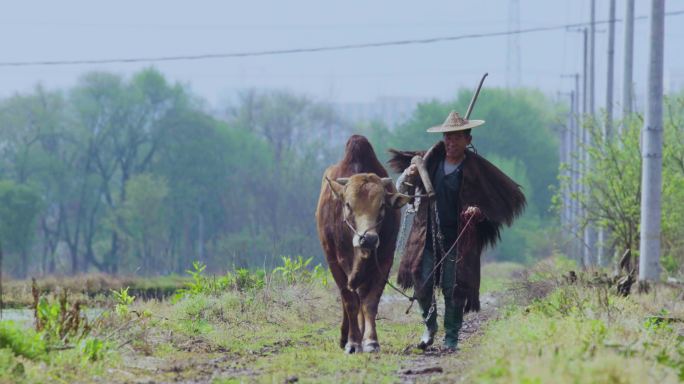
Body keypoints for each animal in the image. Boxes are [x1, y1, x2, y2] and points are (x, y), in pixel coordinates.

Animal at [316, 135, 412, 354]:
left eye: (382, 206)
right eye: (348, 205)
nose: (367, 239)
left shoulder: (384, 260)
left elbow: (370, 302)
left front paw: (370, 341)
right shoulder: (334, 261)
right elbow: (350, 302)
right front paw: (353, 342)